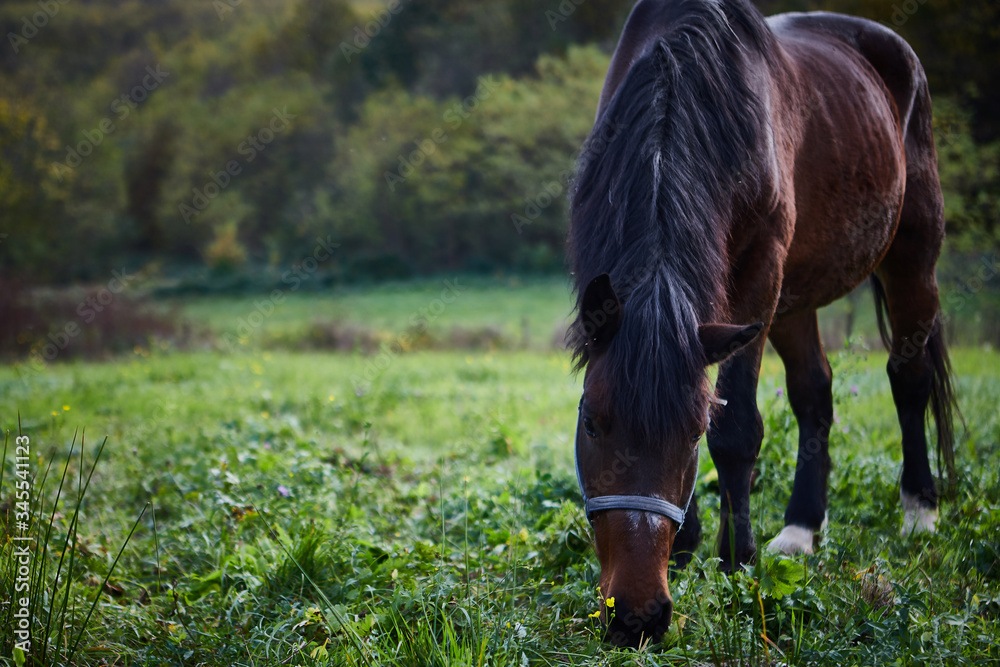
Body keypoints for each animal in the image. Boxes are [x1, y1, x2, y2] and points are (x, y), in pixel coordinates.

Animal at [567, 0, 958, 647]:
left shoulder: (758, 277)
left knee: (909, 380)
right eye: (593, 424)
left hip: (911, 257)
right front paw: (687, 550)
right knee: (814, 394)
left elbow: (738, 428)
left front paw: (736, 558)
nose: (637, 616)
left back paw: (919, 513)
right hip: (796, 299)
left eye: (692, 433)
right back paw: (801, 528)